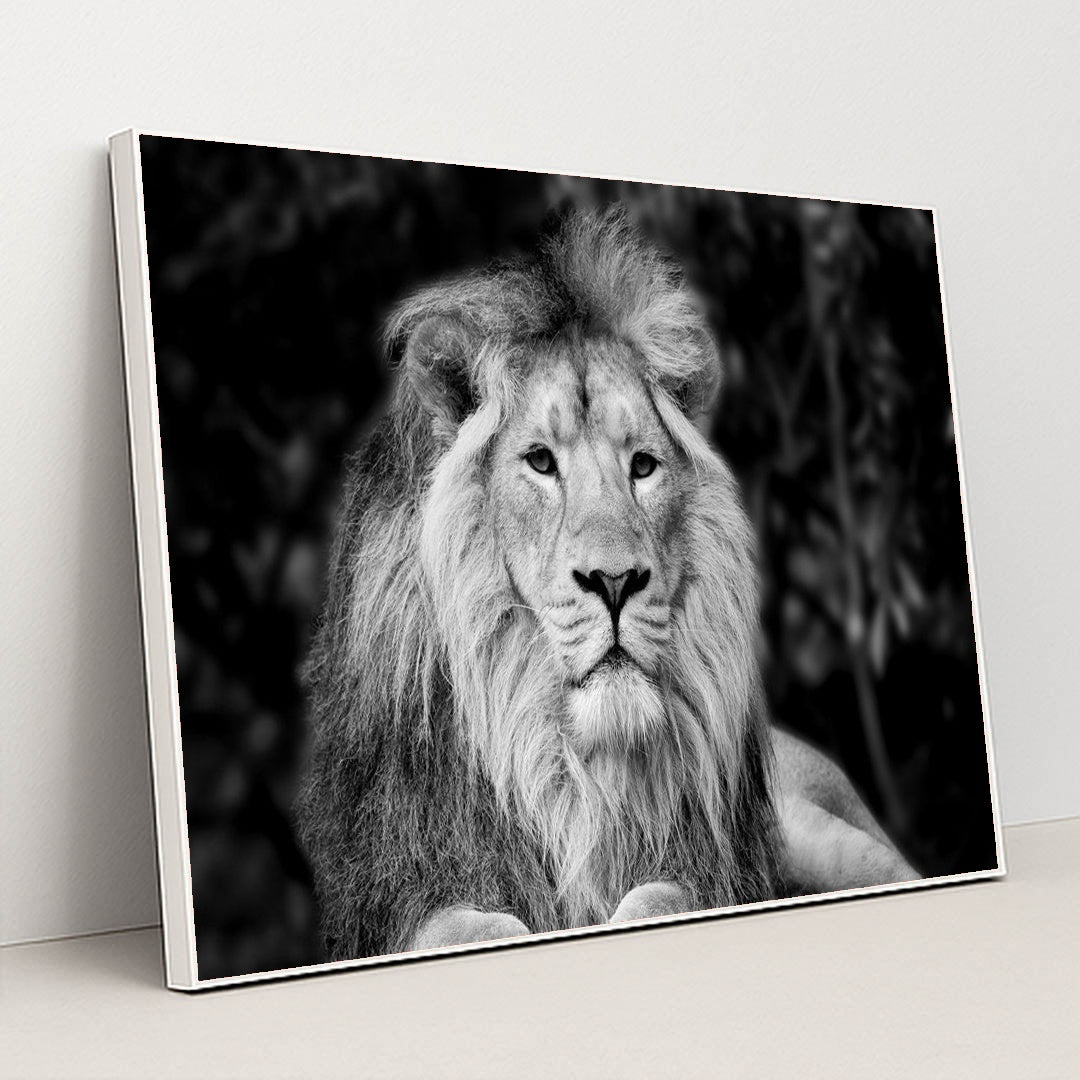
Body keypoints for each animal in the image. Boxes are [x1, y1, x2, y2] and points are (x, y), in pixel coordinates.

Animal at [296, 209, 917, 962]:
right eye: (540, 462)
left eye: (643, 466)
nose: (616, 580)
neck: (567, 767)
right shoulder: (402, 889)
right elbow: (461, 924)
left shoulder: (716, 868)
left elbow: (665, 895)